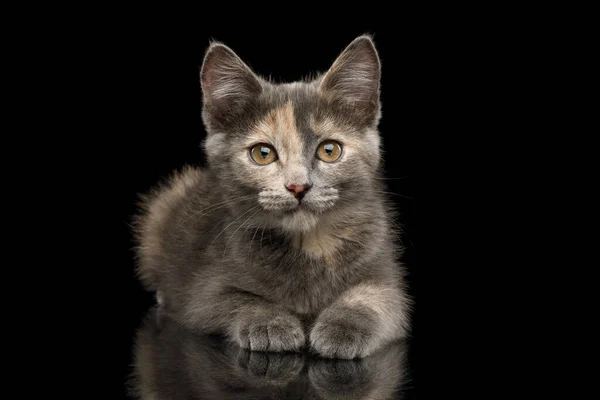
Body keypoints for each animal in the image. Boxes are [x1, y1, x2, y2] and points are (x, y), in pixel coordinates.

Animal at [132, 35, 412, 360]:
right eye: (263, 154)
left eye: (329, 150)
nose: (298, 186)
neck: (308, 245)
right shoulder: (201, 290)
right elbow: (236, 299)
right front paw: (270, 323)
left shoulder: (385, 273)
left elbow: (376, 298)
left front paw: (343, 328)